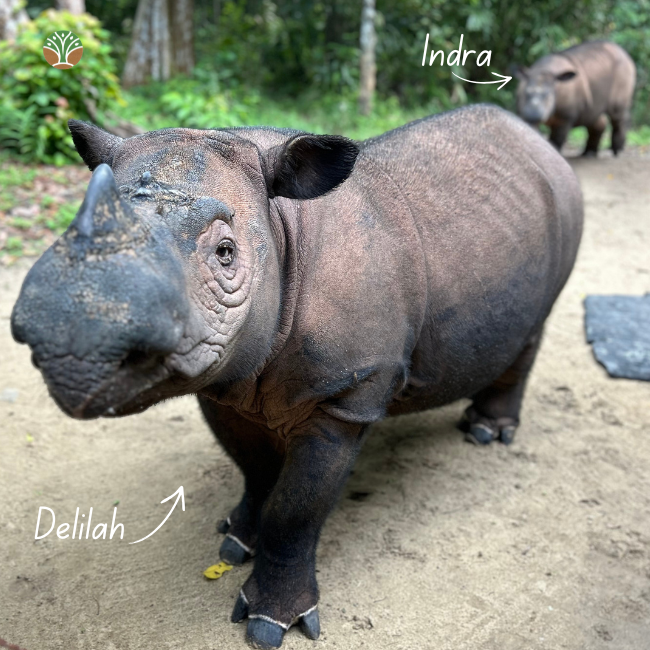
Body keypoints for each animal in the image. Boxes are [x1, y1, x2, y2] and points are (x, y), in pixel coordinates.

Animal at [11, 104, 583, 648]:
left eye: (226, 254)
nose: (73, 348)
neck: (281, 230)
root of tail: (540, 144)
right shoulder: (225, 379)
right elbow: (256, 470)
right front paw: (234, 541)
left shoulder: (344, 396)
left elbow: (295, 510)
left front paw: (270, 623)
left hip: (566, 205)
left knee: (533, 330)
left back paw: (486, 432)